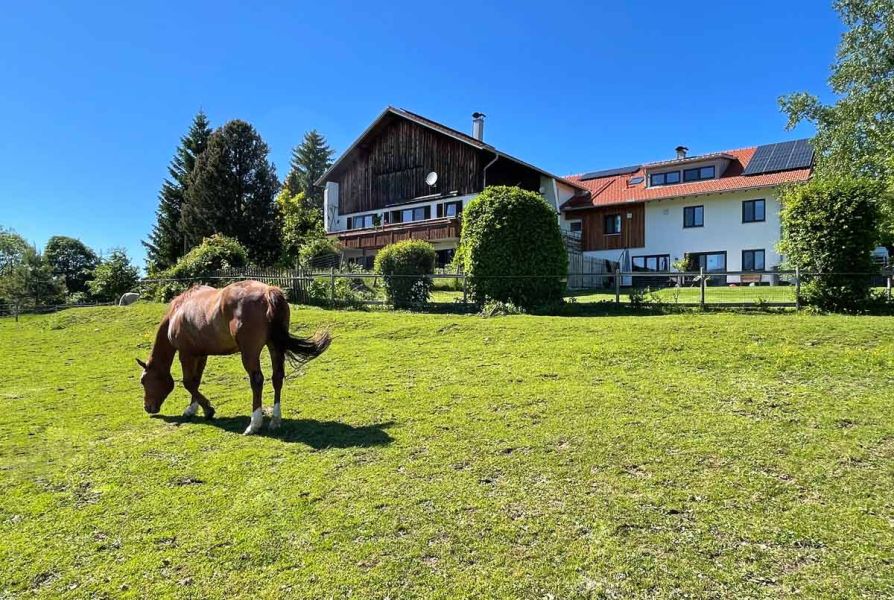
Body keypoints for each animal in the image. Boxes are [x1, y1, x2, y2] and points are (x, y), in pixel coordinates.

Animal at [136, 280, 331, 435]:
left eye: (144, 381)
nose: (148, 407)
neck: (178, 311)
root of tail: (268, 292)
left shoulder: (186, 354)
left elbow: (188, 383)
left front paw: (208, 410)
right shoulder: (201, 355)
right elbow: (196, 381)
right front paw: (193, 408)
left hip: (250, 353)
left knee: (257, 380)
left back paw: (254, 424)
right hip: (275, 346)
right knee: (277, 377)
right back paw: (275, 420)